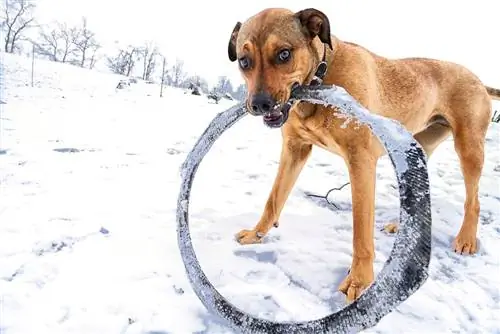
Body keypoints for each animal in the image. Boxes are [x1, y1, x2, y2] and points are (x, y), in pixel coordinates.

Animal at [228, 7, 500, 302]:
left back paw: (466, 239)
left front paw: (359, 280)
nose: (259, 104)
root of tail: (478, 80)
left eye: (284, 54)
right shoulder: (295, 149)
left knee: (473, 201)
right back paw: (399, 225)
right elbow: (274, 199)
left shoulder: (360, 162)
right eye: (244, 61)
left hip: (469, 147)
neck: (323, 73)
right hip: (417, 149)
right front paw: (256, 234)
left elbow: (361, 232)